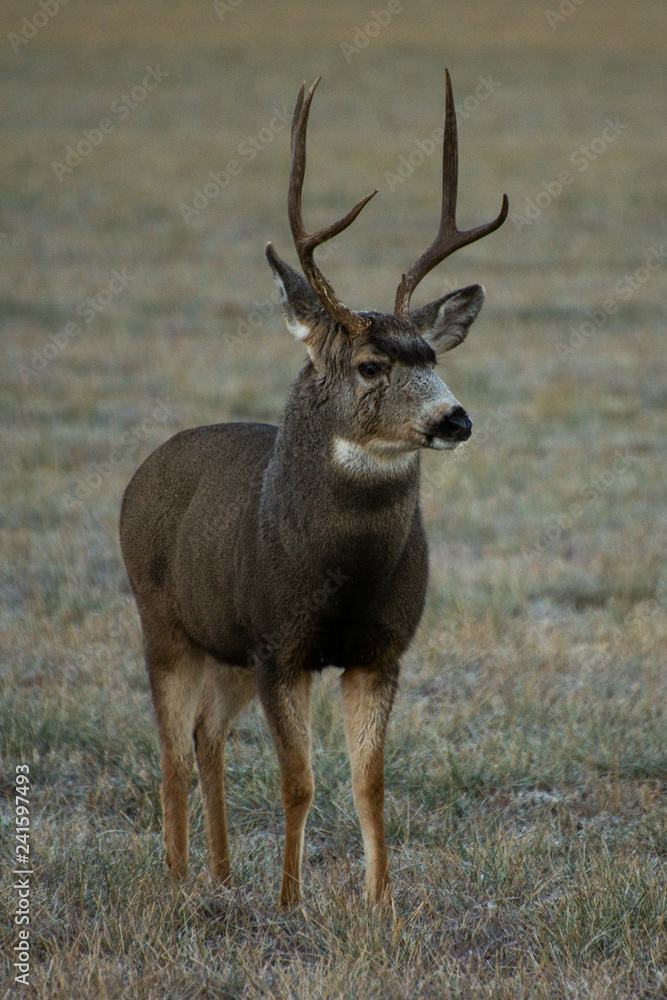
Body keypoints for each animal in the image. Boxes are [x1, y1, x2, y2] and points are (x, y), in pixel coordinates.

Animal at [120, 69, 508, 908]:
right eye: (370, 364)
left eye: (432, 353)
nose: (454, 417)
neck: (342, 572)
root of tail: (150, 463)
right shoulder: (279, 645)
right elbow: (297, 782)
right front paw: (291, 900)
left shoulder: (379, 651)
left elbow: (371, 785)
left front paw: (380, 904)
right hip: (164, 622)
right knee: (171, 751)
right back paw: (178, 879)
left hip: (225, 647)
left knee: (205, 737)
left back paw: (221, 873)